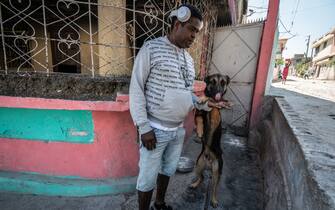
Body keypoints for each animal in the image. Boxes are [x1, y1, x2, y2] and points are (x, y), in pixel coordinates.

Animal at [192, 73, 231, 207]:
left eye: (223, 83)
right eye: (212, 82)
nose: (218, 93)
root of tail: (208, 162)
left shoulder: (216, 115)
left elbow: (213, 104)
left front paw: (211, 100)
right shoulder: (198, 114)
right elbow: (199, 119)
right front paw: (199, 132)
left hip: (216, 172)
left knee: (214, 188)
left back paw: (213, 200)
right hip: (198, 165)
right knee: (202, 177)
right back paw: (195, 184)